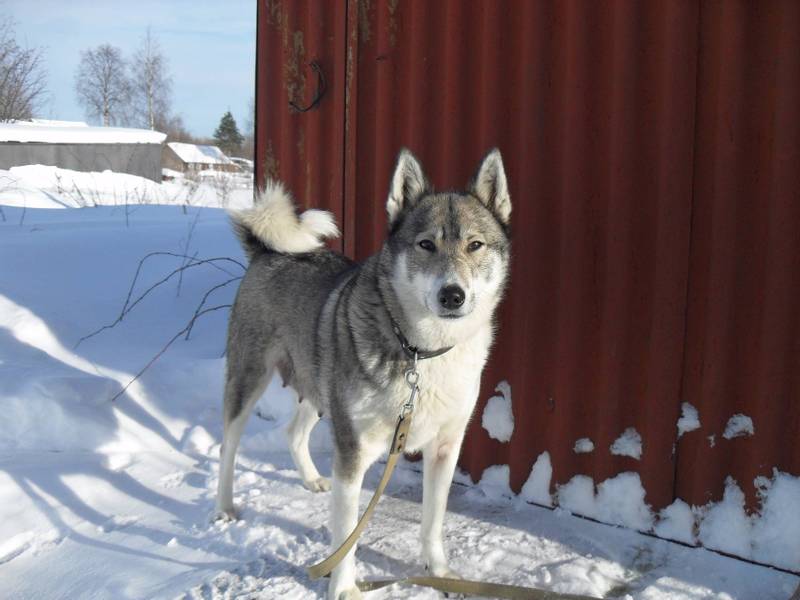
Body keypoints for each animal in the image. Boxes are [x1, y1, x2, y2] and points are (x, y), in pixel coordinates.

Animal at [217, 148, 512, 596]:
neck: (421, 354)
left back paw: (310, 479)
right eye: (426, 244)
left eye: (475, 245)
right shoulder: (352, 453)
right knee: (228, 446)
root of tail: (268, 251)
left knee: (293, 431)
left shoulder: (445, 447)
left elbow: (433, 521)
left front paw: (438, 571)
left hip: (320, 386)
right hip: (249, 378)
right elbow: (346, 536)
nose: (452, 295)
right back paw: (224, 507)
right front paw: (342, 588)